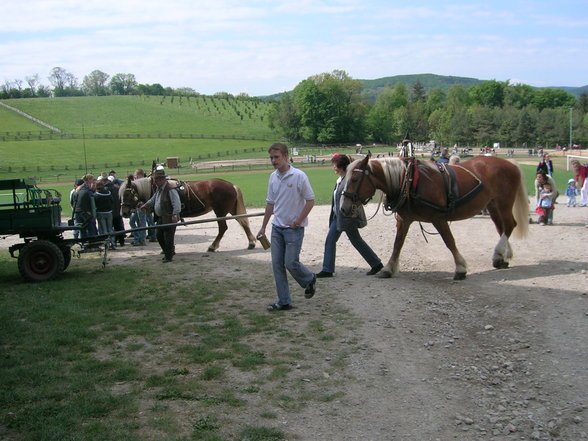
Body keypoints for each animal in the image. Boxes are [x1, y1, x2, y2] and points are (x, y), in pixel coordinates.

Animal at [119, 175, 258, 251]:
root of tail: (231, 185)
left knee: (223, 228)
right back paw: (251, 243)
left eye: (127, 194)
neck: (156, 188)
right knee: (243, 223)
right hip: (231, 210)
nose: (124, 213)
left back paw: (212, 246)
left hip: (220, 212)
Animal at [340, 155, 528, 278]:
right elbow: (397, 244)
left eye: (355, 179)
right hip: (492, 204)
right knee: (501, 227)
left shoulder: (439, 219)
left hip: (503, 202)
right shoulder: (404, 219)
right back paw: (502, 256)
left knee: (509, 225)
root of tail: (509, 163)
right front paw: (388, 268)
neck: (409, 182)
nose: (343, 208)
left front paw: (460, 268)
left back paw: (499, 253)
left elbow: (449, 241)